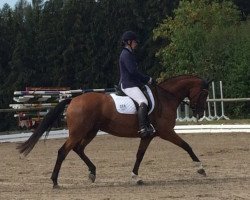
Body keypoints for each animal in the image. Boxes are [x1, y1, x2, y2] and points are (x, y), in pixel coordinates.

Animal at [17, 74, 211, 188]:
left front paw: (135, 177)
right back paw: (55, 181)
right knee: (63, 151)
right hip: (79, 132)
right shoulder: (166, 132)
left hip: (90, 132)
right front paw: (200, 168)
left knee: (78, 149)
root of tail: (73, 100)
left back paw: (92, 173)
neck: (166, 97)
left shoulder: (148, 135)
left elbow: (139, 155)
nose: (200, 113)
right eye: (204, 93)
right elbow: (186, 146)